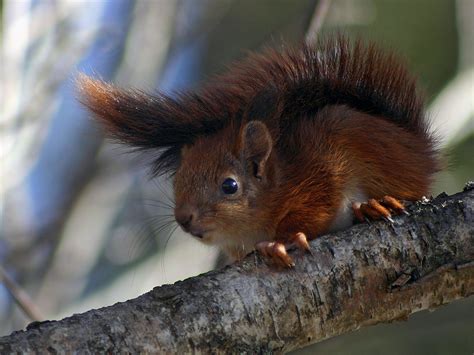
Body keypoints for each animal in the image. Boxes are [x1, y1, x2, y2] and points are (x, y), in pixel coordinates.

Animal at [78, 37, 440, 268]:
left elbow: (312, 213)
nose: (184, 218)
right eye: (177, 181)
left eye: (230, 186)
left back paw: (371, 205)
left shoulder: (318, 177)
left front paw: (279, 241)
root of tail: (420, 149)